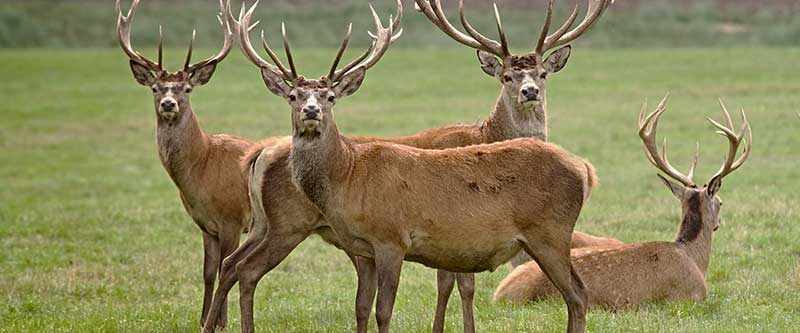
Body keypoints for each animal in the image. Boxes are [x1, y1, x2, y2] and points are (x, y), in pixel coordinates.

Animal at [116, 0, 260, 326]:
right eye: (155, 88)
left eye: (187, 89)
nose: (169, 104)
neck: (202, 167)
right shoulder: (205, 225)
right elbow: (207, 272)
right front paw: (204, 318)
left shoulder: (232, 218)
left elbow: (225, 268)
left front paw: (220, 322)